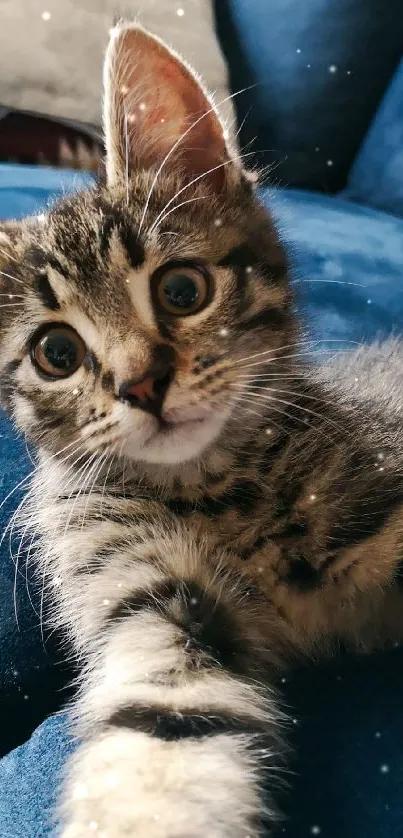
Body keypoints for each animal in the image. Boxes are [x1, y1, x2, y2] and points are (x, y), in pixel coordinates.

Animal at [0, 23, 403, 838]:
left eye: (182, 290)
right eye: (56, 353)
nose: (141, 385)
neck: (215, 488)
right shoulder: (146, 597)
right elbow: (158, 732)